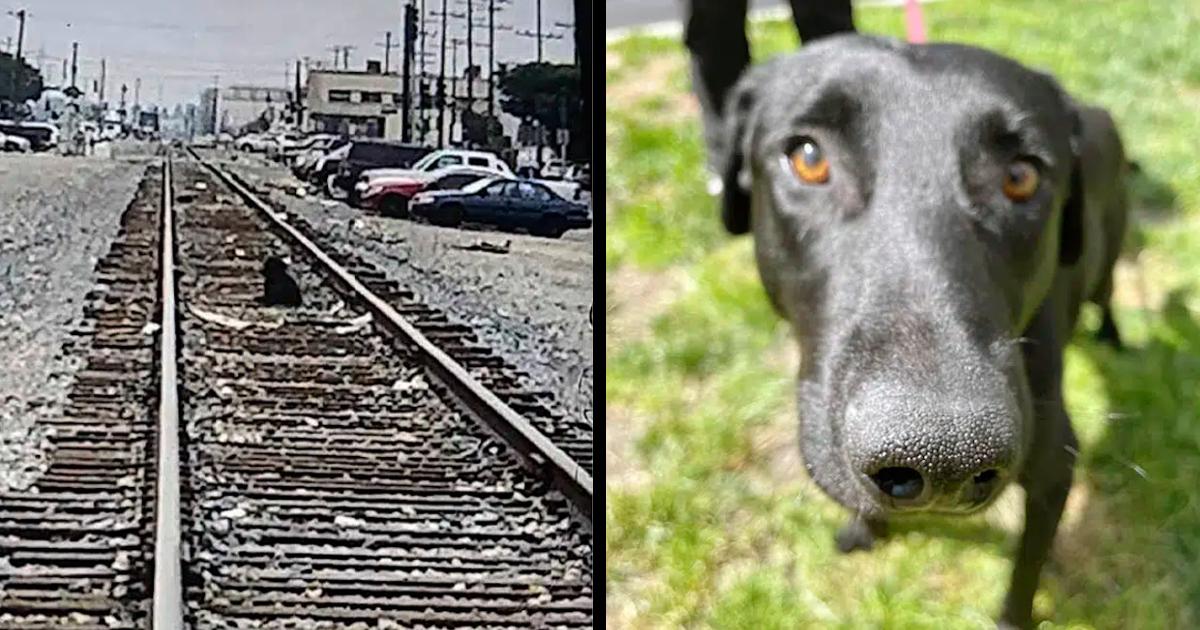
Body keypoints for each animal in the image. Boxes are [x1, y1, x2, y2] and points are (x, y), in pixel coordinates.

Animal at [715, 35, 1128, 628]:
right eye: (809, 158)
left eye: (1021, 176)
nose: (946, 456)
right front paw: (866, 528)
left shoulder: (1055, 466)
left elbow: (1025, 575)